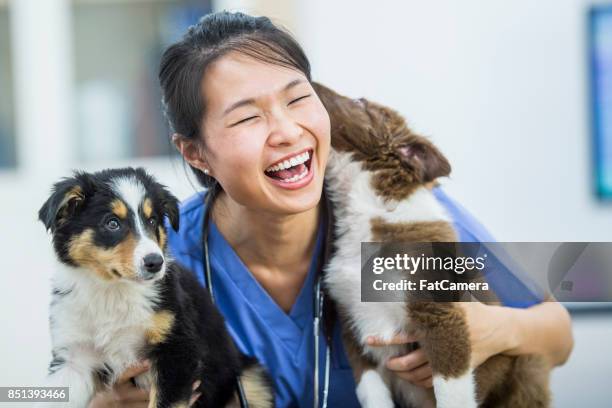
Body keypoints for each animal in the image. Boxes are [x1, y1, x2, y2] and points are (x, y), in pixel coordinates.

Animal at [38, 167, 272, 406]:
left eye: (152, 221)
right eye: (112, 223)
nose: (155, 262)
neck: (113, 290)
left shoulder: (176, 348)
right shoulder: (73, 358)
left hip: (250, 381)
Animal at [316, 83, 548, 408]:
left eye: (360, 102)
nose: (309, 80)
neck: (371, 211)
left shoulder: (442, 319)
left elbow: (451, 395)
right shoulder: (354, 328)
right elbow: (371, 391)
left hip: (529, 363)